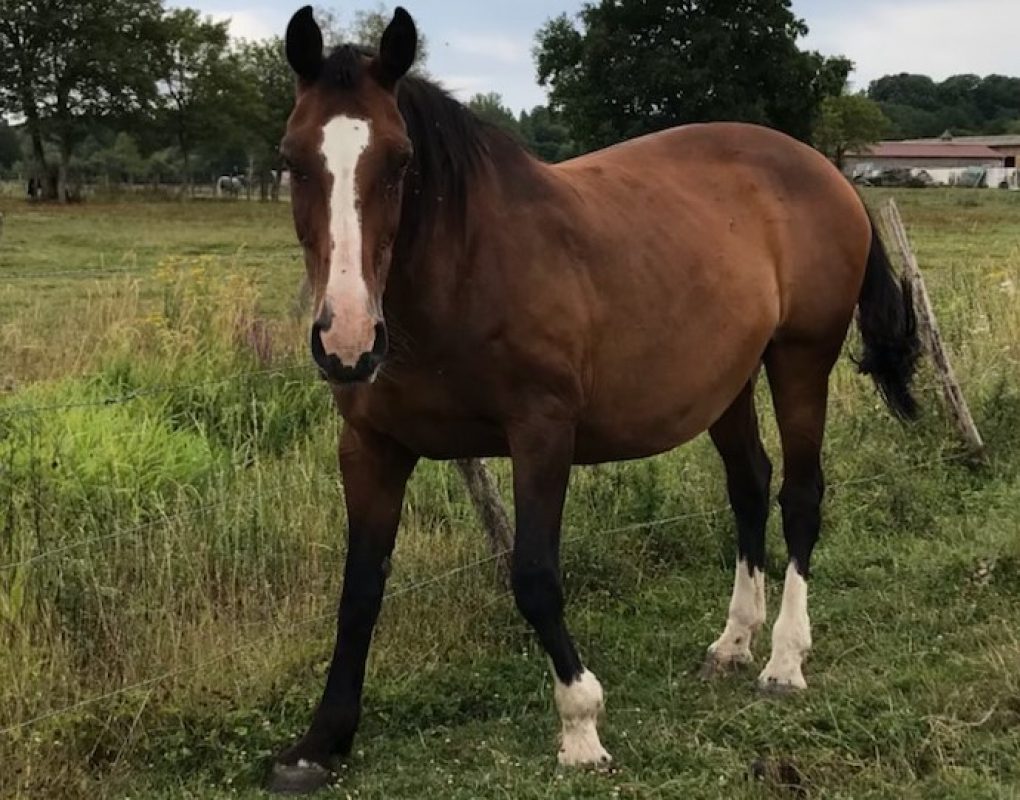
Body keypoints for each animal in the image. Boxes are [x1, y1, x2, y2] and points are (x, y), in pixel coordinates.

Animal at [268, 6, 921, 793]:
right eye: (292, 158)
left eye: (398, 160)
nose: (348, 339)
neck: (462, 270)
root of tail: (826, 170)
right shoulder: (372, 448)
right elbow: (360, 589)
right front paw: (320, 741)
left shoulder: (542, 433)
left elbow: (535, 575)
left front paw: (581, 723)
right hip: (726, 379)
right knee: (749, 486)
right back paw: (734, 641)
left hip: (801, 358)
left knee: (800, 495)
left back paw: (785, 659)